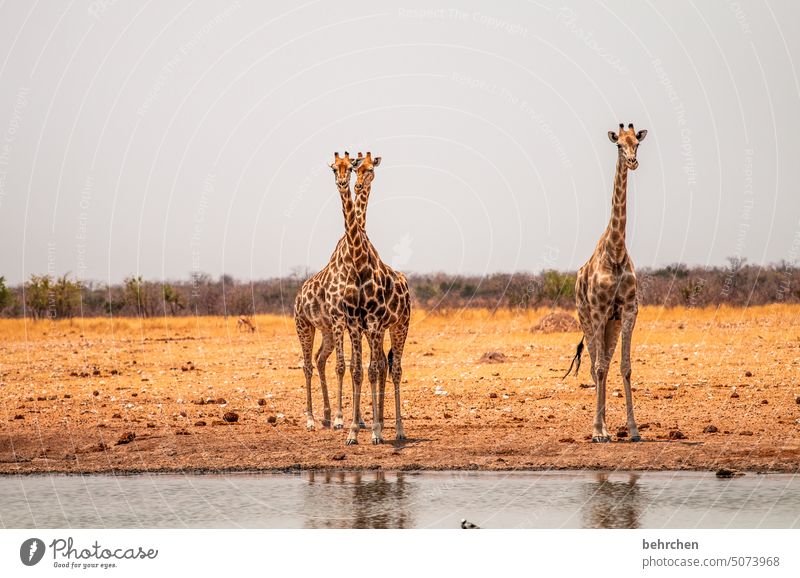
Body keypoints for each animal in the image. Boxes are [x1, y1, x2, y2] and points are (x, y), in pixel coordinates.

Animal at [292, 151, 364, 430]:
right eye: (334, 168)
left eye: (351, 167)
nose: (344, 183)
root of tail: (297, 297)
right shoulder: (339, 317)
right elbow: (342, 366)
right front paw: (341, 418)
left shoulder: (352, 321)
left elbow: (352, 364)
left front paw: (354, 418)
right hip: (304, 325)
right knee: (307, 365)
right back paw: (311, 419)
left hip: (327, 330)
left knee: (320, 359)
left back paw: (324, 413)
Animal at [564, 122, 648, 440]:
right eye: (618, 145)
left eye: (637, 142)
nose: (633, 161)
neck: (616, 251)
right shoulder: (599, 311)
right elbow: (598, 368)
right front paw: (598, 431)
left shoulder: (628, 309)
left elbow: (625, 367)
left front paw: (634, 430)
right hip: (586, 318)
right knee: (593, 366)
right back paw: (600, 428)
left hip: (610, 324)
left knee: (606, 364)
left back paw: (609, 426)